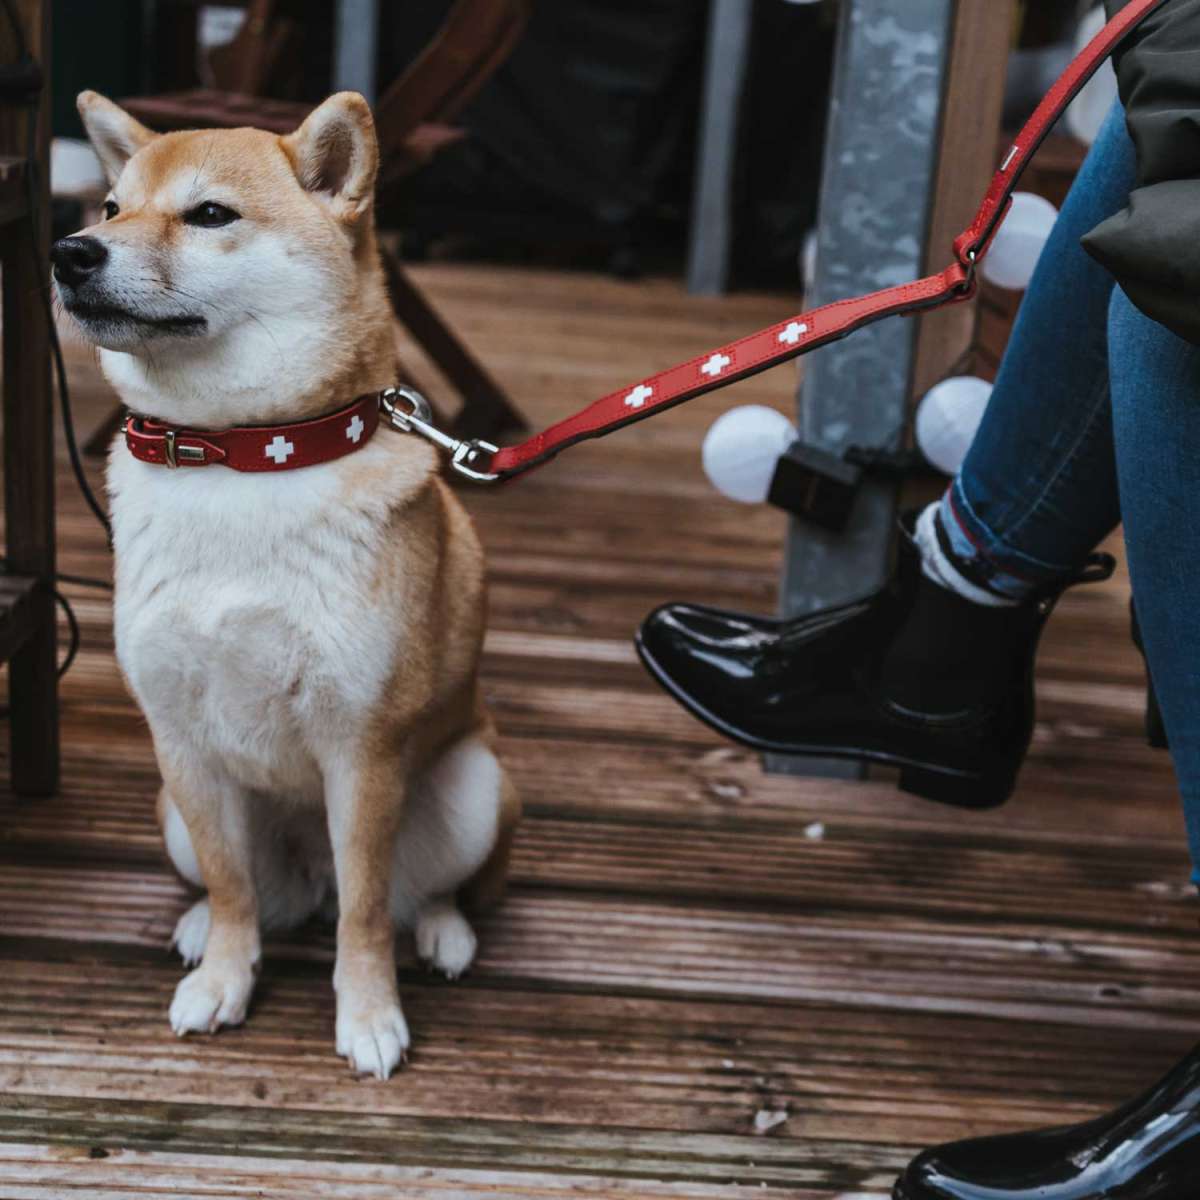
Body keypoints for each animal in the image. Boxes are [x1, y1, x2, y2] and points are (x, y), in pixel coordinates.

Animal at [55, 87, 520, 1080]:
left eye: (209, 215)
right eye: (110, 208)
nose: (71, 252)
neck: (239, 459)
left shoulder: (363, 749)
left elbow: (367, 909)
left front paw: (369, 1015)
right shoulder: (182, 741)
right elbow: (235, 888)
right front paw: (225, 978)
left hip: (473, 788)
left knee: (416, 891)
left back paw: (447, 933)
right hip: (172, 815)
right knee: (254, 889)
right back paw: (204, 928)